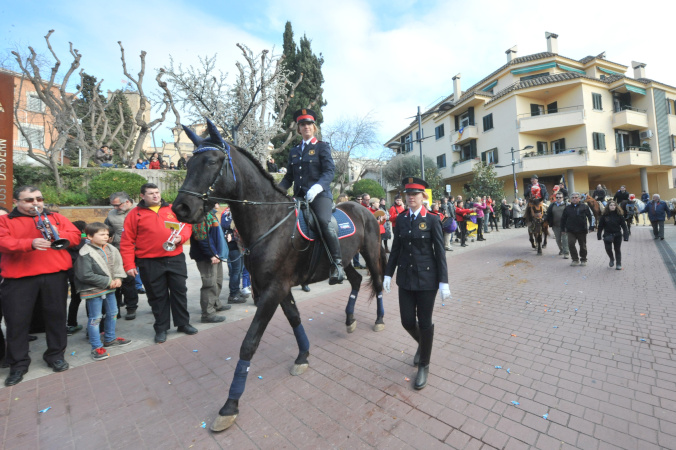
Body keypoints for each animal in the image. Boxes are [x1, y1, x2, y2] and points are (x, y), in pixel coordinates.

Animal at [172, 120, 386, 432]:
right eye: (188, 163)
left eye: (211, 161)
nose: (181, 208)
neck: (270, 222)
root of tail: (364, 207)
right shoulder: (274, 287)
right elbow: (295, 319)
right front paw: (303, 356)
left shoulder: (273, 289)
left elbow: (249, 343)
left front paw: (230, 405)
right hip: (346, 260)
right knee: (356, 281)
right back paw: (349, 319)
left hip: (370, 254)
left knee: (379, 283)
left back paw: (379, 320)